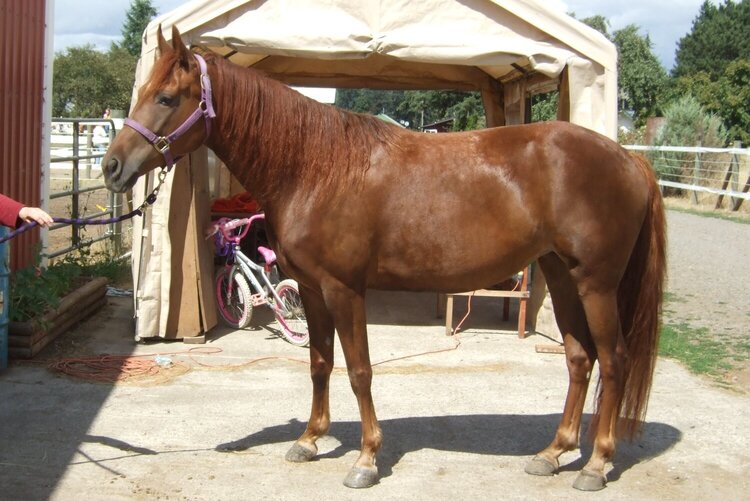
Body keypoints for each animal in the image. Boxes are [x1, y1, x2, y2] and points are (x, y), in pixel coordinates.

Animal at [103, 26, 668, 488]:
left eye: (167, 97)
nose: (111, 167)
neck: (315, 168)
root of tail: (629, 159)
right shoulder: (311, 289)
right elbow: (320, 362)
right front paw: (309, 440)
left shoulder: (344, 289)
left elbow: (359, 370)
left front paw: (366, 459)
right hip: (561, 275)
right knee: (579, 358)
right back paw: (554, 453)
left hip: (596, 284)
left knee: (613, 360)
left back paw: (596, 464)